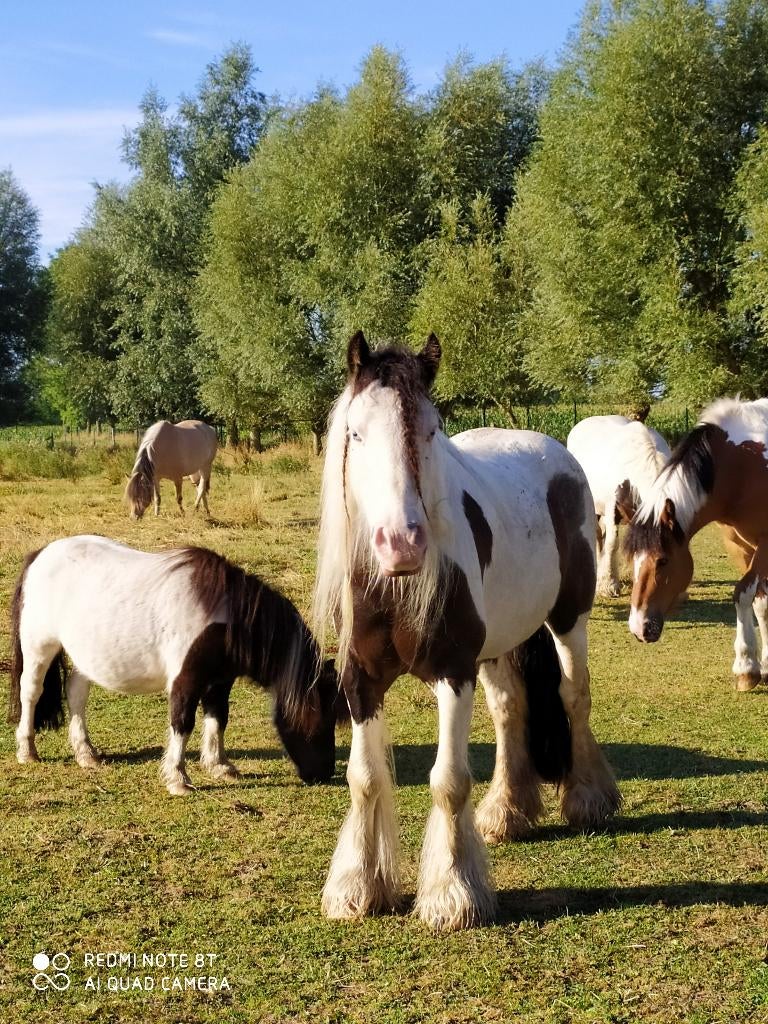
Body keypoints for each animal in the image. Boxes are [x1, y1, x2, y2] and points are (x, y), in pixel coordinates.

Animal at [8, 536, 344, 793]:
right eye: (320, 715)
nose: (323, 773)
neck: (222, 618)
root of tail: (40, 555)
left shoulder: (219, 681)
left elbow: (218, 719)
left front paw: (220, 766)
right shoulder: (186, 680)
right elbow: (182, 723)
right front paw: (178, 779)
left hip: (83, 655)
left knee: (77, 693)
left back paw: (86, 754)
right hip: (39, 647)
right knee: (31, 693)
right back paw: (27, 750)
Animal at [312, 332, 620, 932]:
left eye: (432, 430)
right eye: (356, 432)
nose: (402, 544)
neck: (394, 588)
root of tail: (553, 452)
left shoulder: (453, 673)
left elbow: (449, 779)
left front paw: (452, 894)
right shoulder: (361, 681)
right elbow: (364, 776)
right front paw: (358, 885)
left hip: (569, 619)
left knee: (575, 695)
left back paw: (588, 798)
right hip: (500, 644)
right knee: (510, 710)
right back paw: (507, 812)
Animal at [626, 397, 768, 691]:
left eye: (663, 560)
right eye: (632, 561)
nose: (639, 628)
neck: (743, 465)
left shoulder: (766, 543)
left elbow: (743, 594)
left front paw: (746, 667)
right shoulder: (741, 546)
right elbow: (761, 602)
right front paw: (763, 667)